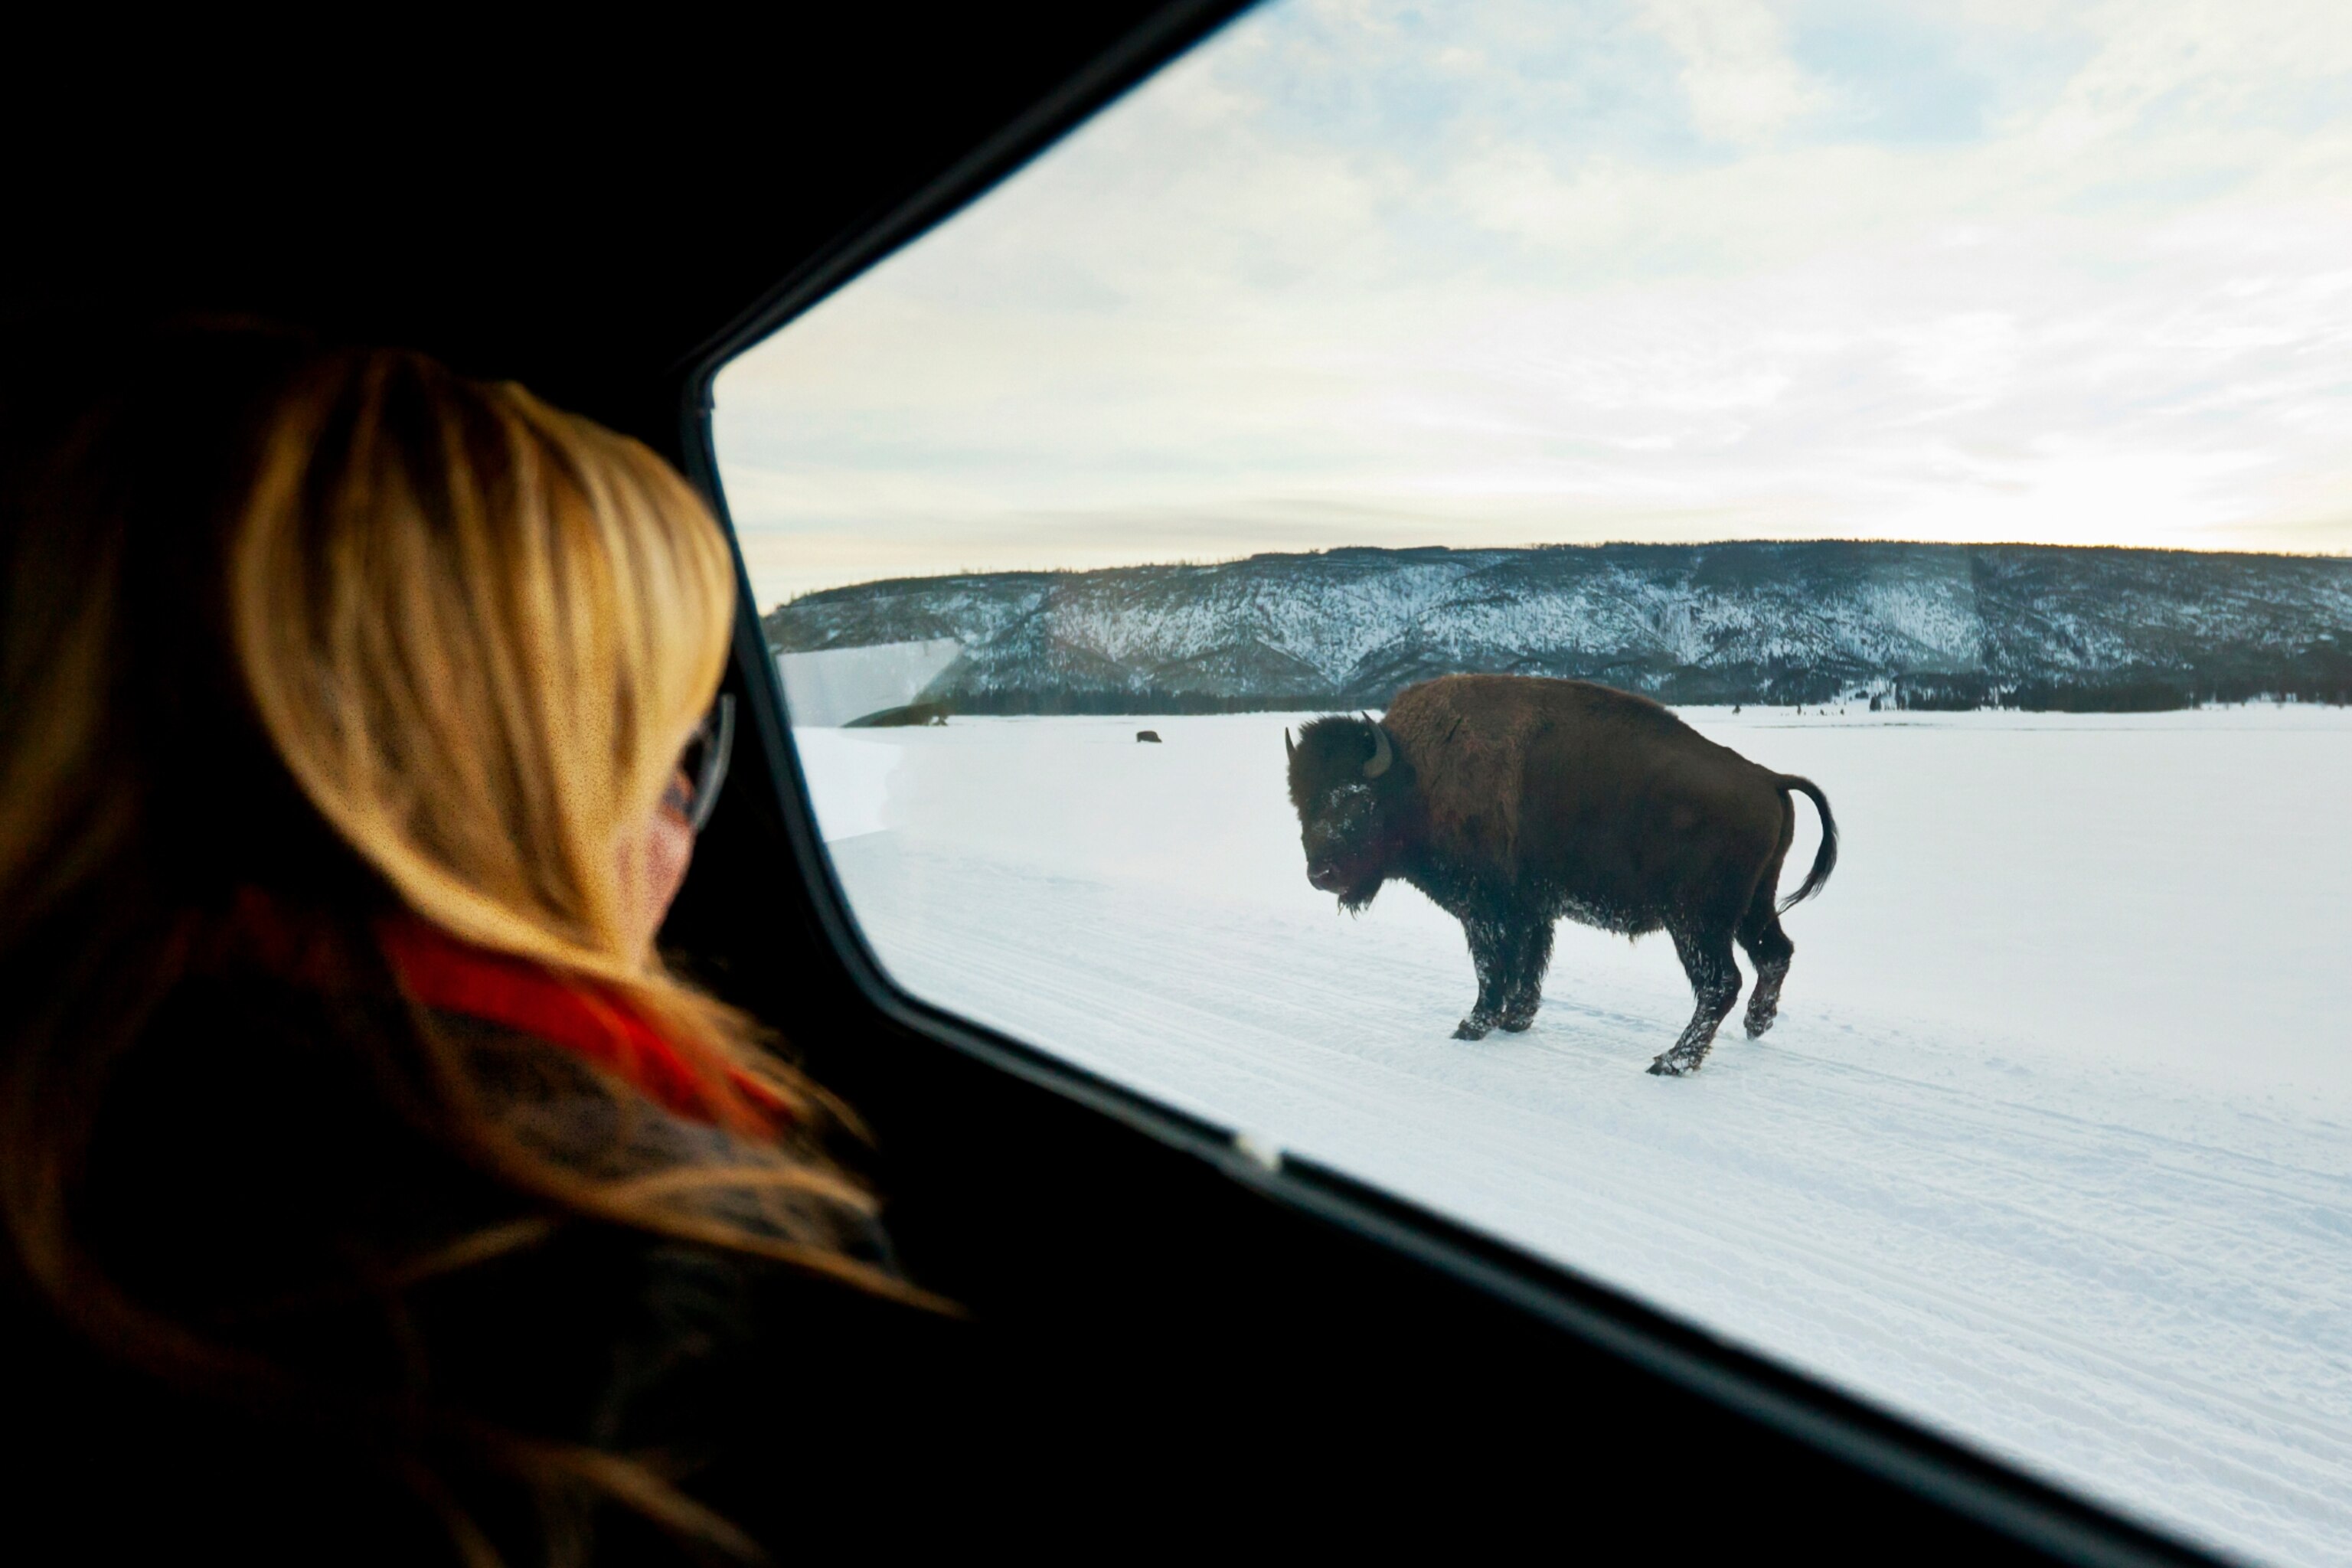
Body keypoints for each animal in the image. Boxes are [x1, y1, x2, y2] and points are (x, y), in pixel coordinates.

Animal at [1285, 674, 1837, 1076]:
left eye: (1356, 800)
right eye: (1300, 801)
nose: (1321, 873)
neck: (1415, 776)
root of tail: (1767, 778)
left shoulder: (1485, 909)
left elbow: (1493, 968)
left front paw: (1471, 1026)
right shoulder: (1532, 909)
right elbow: (1528, 967)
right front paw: (1515, 1021)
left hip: (1697, 920)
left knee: (1721, 982)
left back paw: (1670, 1062)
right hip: (1752, 906)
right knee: (1774, 955)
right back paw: (1755, 1026)